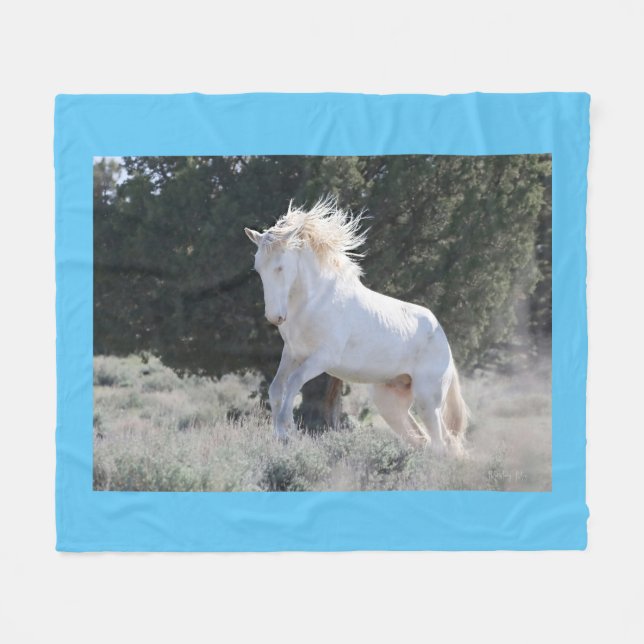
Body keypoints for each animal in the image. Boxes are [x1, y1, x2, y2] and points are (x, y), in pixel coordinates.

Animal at [244, 199, 468, 453]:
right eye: (258, 268)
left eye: (280, 266)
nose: (275, 317)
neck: (313, 301)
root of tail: (443, 339)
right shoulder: (292, 353)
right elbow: (276, 388)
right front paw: (279, 434)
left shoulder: (322, 358)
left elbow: (293, 382)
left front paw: (287, 429)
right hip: (390, 401)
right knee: (423, 439)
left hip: (427, 400)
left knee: (441, 444)